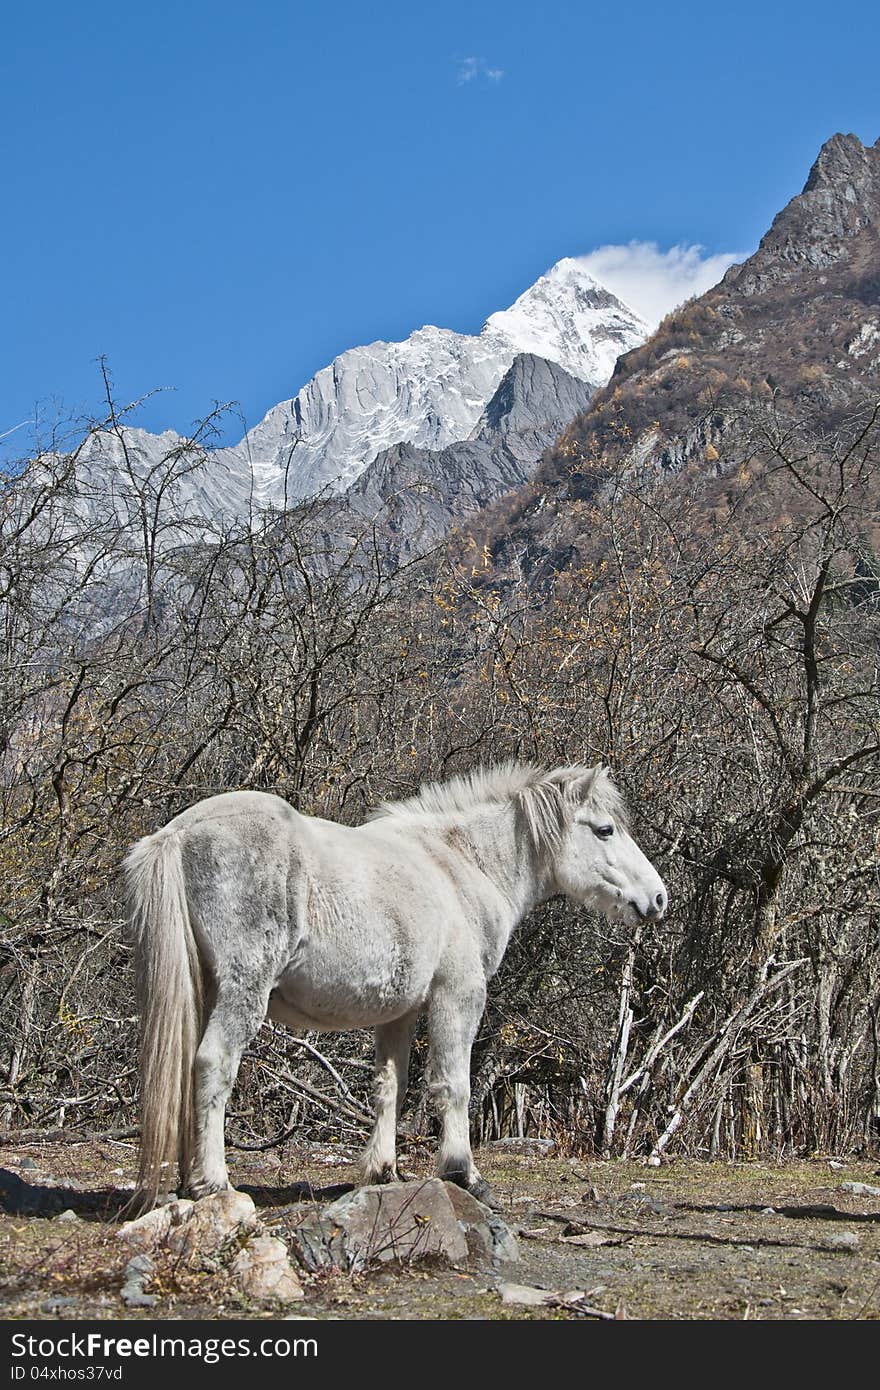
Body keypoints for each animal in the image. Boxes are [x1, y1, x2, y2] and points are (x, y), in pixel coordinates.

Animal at [125, 761, 664, 1206]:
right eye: (605, 830)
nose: (658, 898)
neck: (458, 864)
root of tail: (177, 835)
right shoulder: (458, 997)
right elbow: (453, 1084)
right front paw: (464, 1174)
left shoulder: (399, 1014)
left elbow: (391, 1086)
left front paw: (382, 1170)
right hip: (243, 992)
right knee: (213, 1064)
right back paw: (214, 1183)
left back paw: (189, 1182)